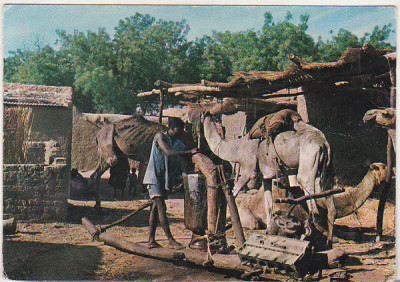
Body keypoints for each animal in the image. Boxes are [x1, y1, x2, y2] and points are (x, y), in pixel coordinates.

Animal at [202, 111, 336, 246]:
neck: (237, 148)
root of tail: (324, 143)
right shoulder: (265, 177)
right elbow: (268, 204)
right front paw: (269, 229)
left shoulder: (248, 170)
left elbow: (233, 193)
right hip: (324, 171)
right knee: (330, 204)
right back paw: (328, 240)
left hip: (309, 159)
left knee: (312, 203)